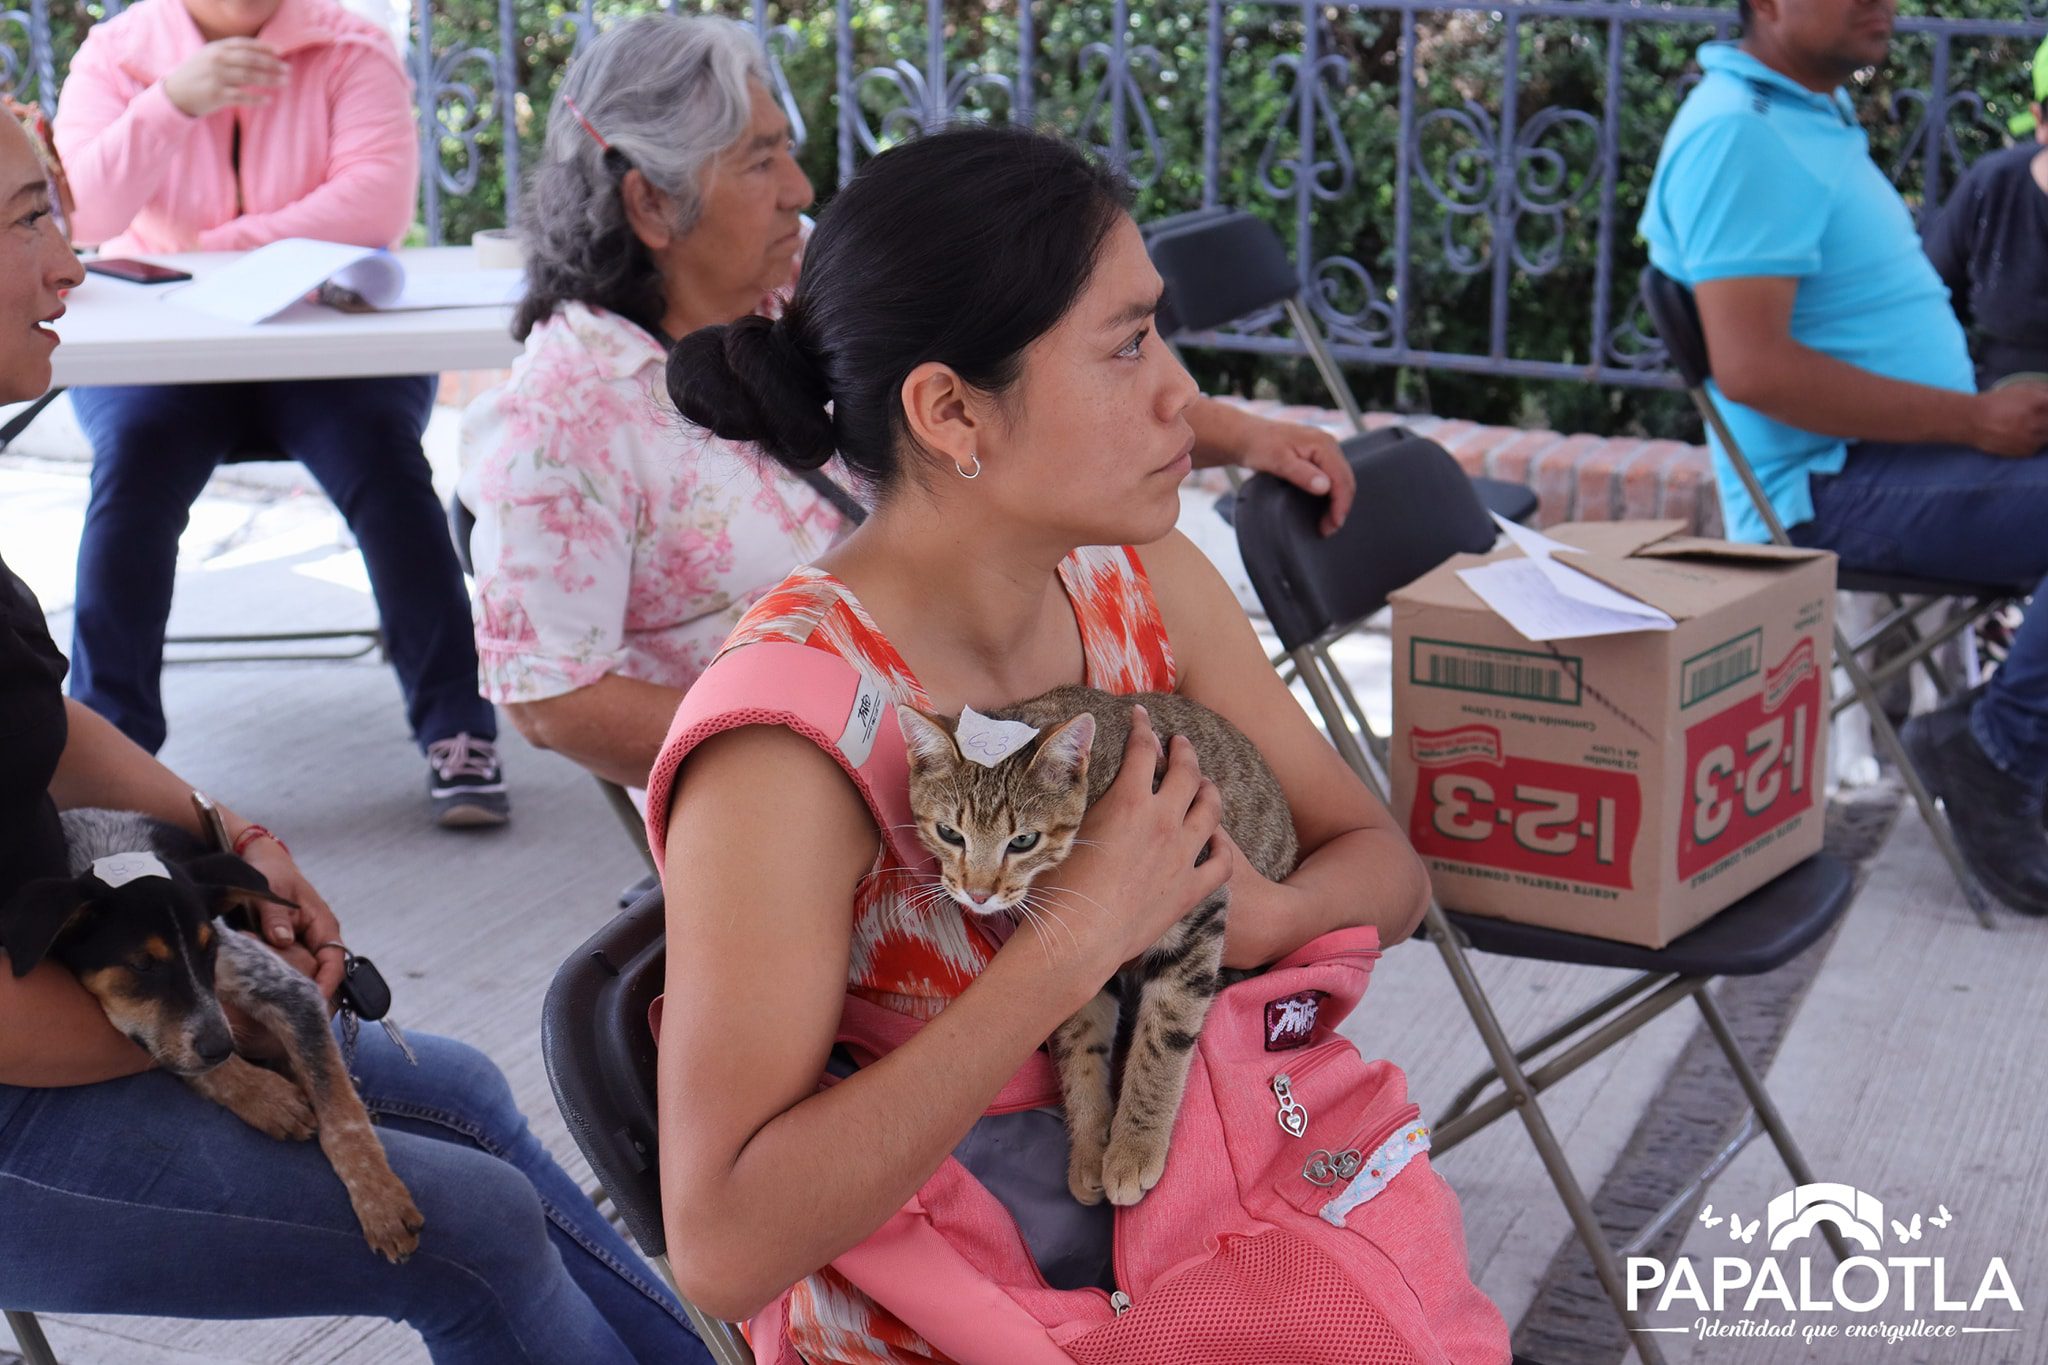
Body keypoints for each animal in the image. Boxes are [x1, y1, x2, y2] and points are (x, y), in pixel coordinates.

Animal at [4, 806, 425, 1268]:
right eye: (142, 964)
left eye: (209, 948)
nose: (223, 1047)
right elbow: (184, 1058)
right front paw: (267, 1097)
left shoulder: (288, 988)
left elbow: (340, 1111)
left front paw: (381, 1201)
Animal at [897, 687, 1294, 1211]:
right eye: (948, 833)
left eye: (1023, 840)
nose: (977, 894)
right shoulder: (1080, 957)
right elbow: (1079, 1047)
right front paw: (1089, 1149)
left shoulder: (1197, 911)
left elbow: (1164, 1037)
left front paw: (1134, 1148)